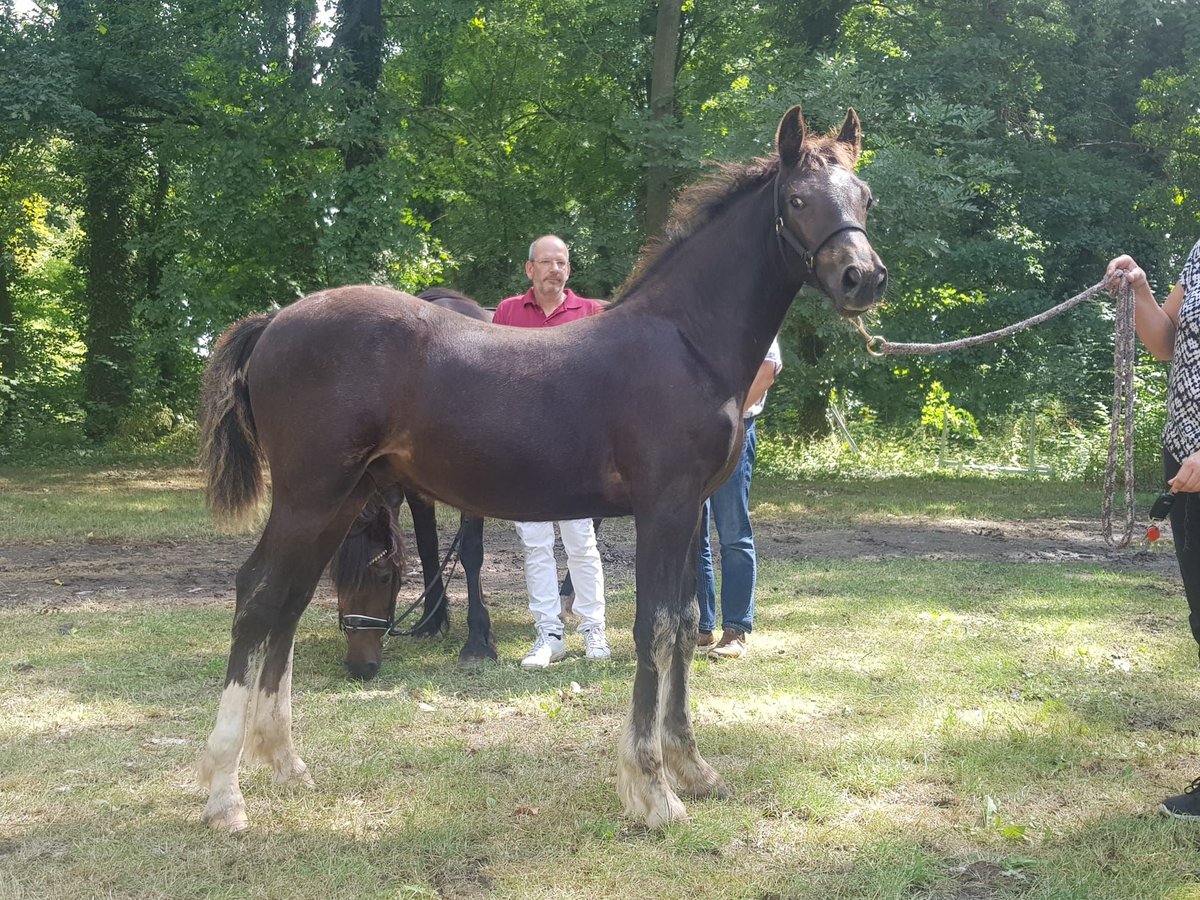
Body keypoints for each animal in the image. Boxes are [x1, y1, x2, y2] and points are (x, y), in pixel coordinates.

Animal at [196, 105, 888, 830]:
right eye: (798, 199)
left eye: (865, 197)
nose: (863, 278)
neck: (685, 342)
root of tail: (275, 321)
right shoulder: (664, 508)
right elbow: (656, 628)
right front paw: (653, 791)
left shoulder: (690, 509)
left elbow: (685, 625)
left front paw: (694, 770)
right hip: (309, 495)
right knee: (258, 595)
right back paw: (225, 795)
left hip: (338, 499)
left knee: (290, 600)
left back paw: (285, 764)